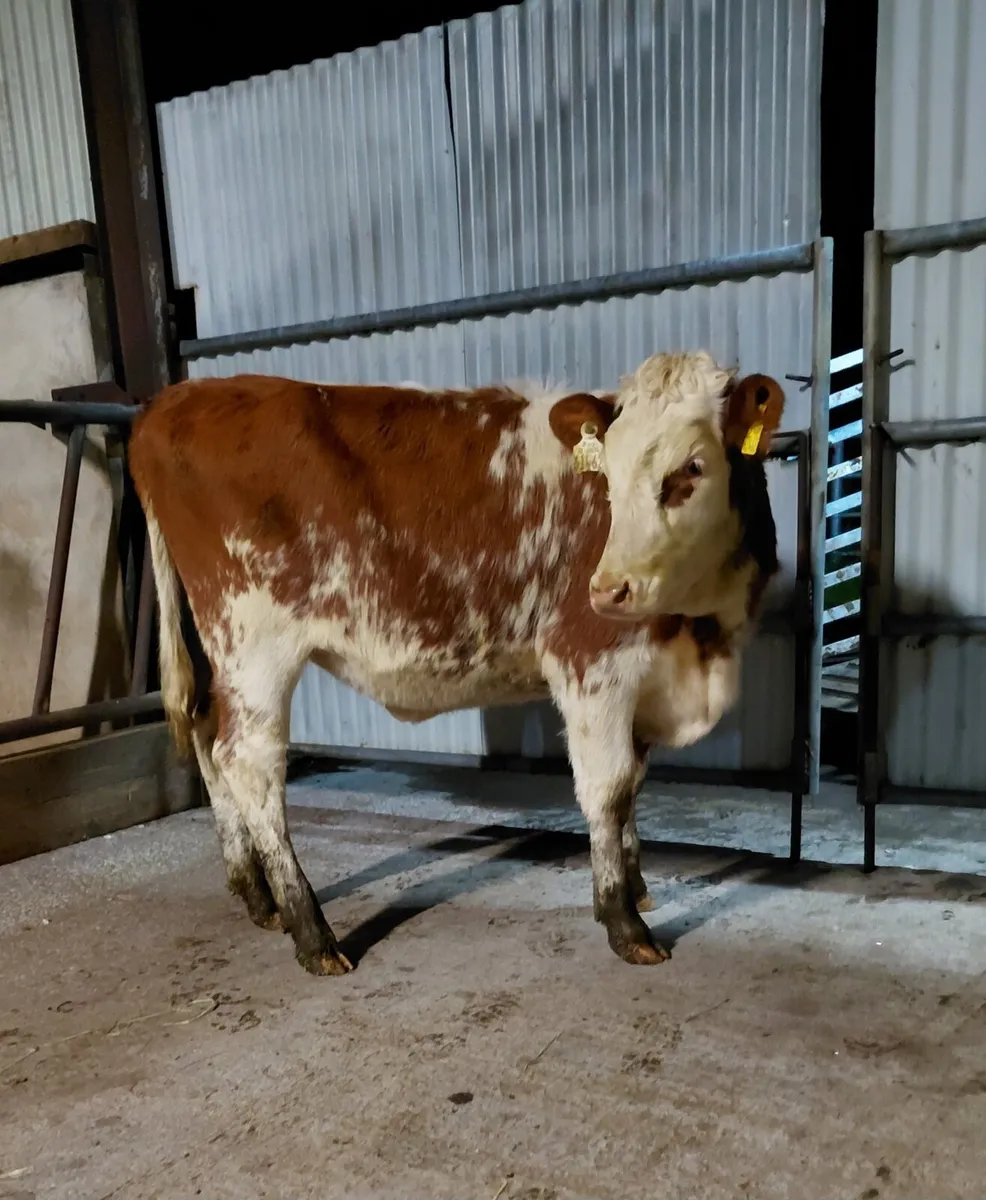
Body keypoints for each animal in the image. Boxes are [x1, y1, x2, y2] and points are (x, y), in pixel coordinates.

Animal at [128, 350, 785, 976]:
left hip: (217, 651)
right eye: (607, 473)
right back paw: (313, 934)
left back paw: (257, 898)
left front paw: (638, 887)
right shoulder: (591, 662)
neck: (703, 636)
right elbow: (610, 788)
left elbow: (634, 787)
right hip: (253, 643)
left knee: (207, 735)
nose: (609, 589)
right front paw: (624, 922)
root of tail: (174, 401)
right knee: (250, 763)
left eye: (692, 469)